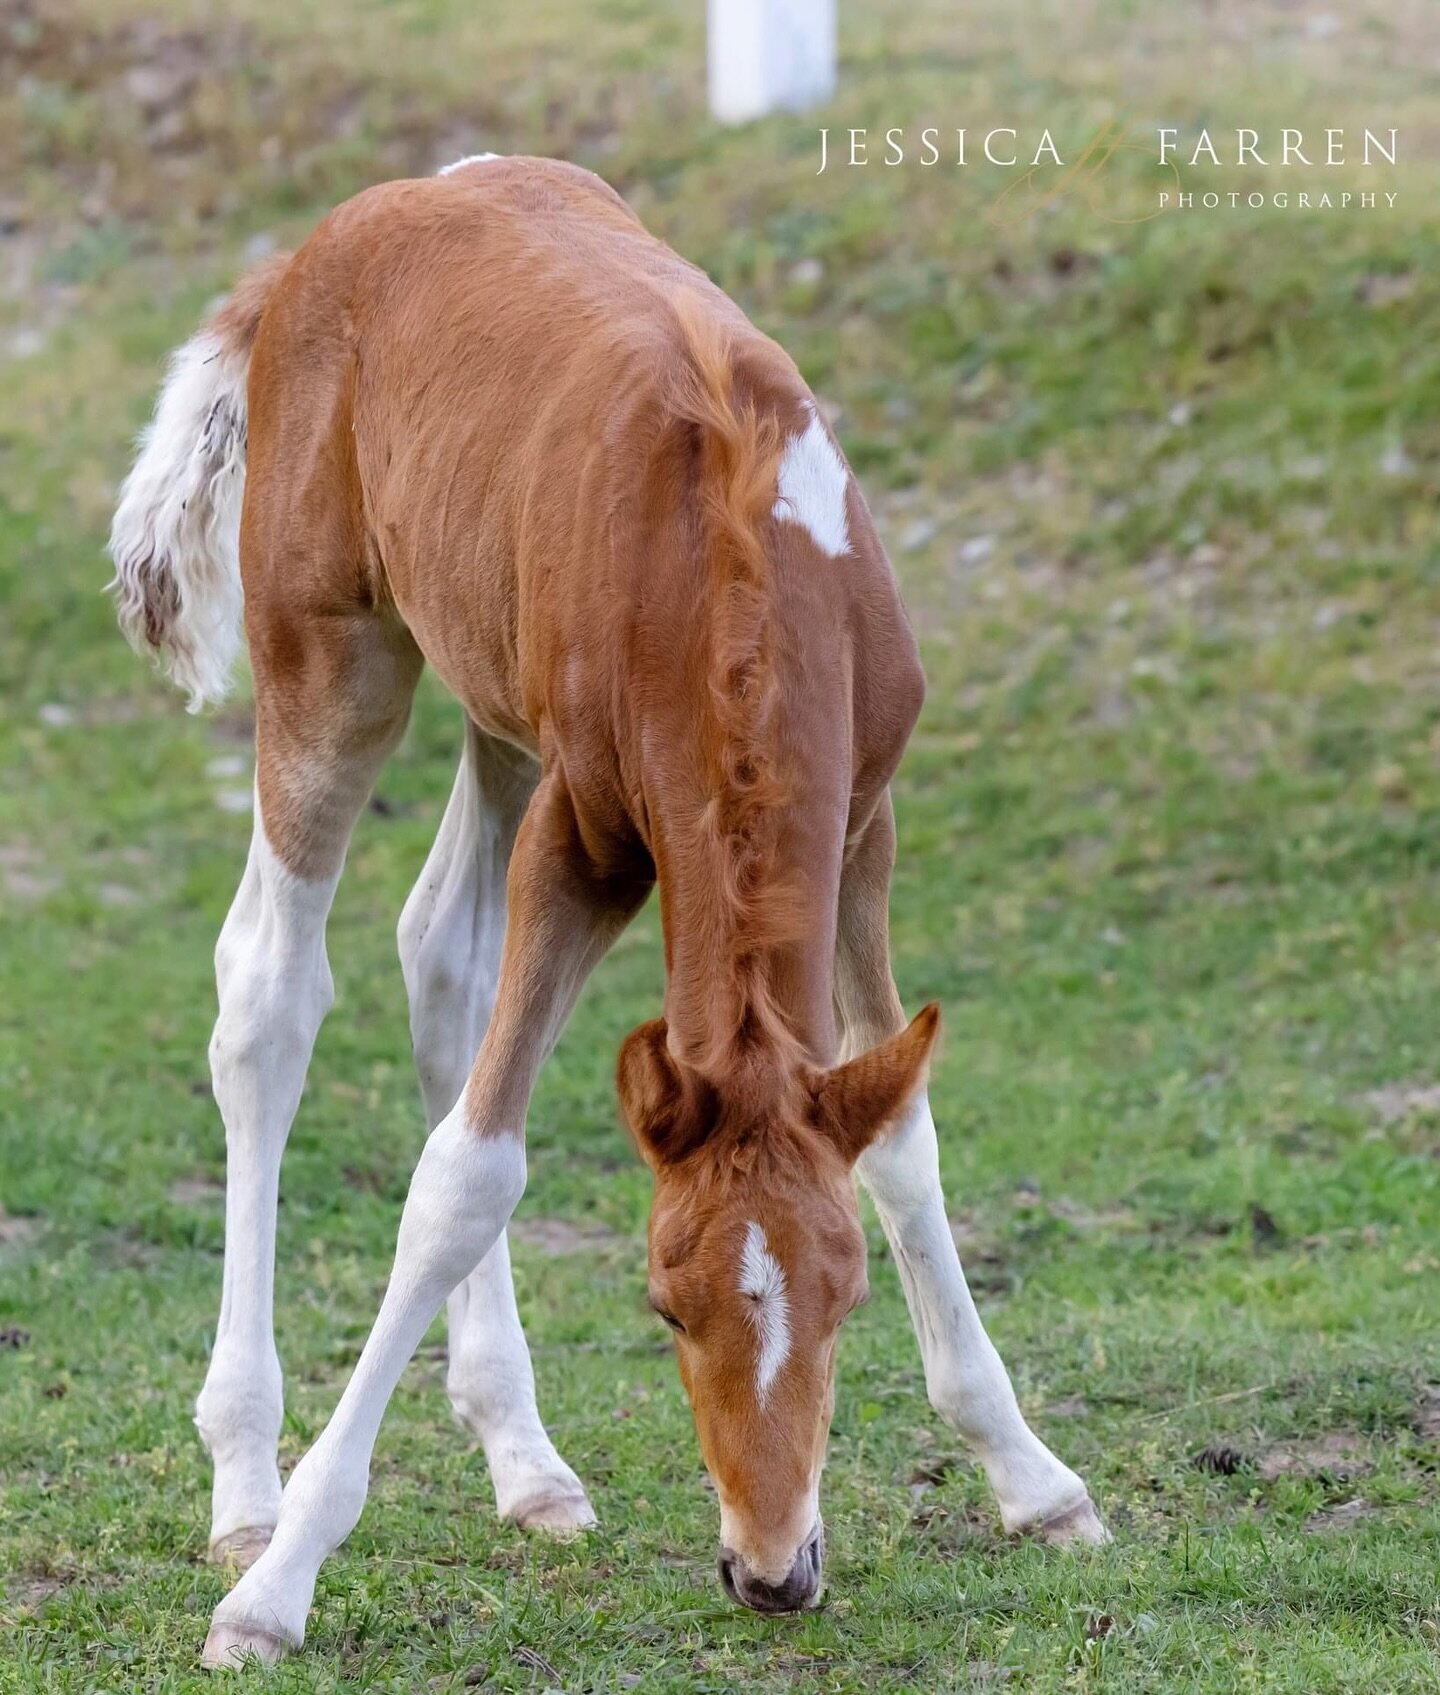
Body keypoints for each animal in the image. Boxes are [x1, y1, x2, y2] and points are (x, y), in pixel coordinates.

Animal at [111, 152, 1097, 1661]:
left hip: (492, 702)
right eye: (664, 1306)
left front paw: (1033, 1477)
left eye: (844, 1301)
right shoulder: (582, 836)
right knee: (268, 995)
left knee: (440, 955)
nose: (772, 1571)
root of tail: (340, 231)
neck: (738, 558)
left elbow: (901, 1135)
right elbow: (465, 1173)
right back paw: (245, 1487)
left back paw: (526, 1461)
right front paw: (274, 1591)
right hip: (334, 662)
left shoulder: (864, 824)